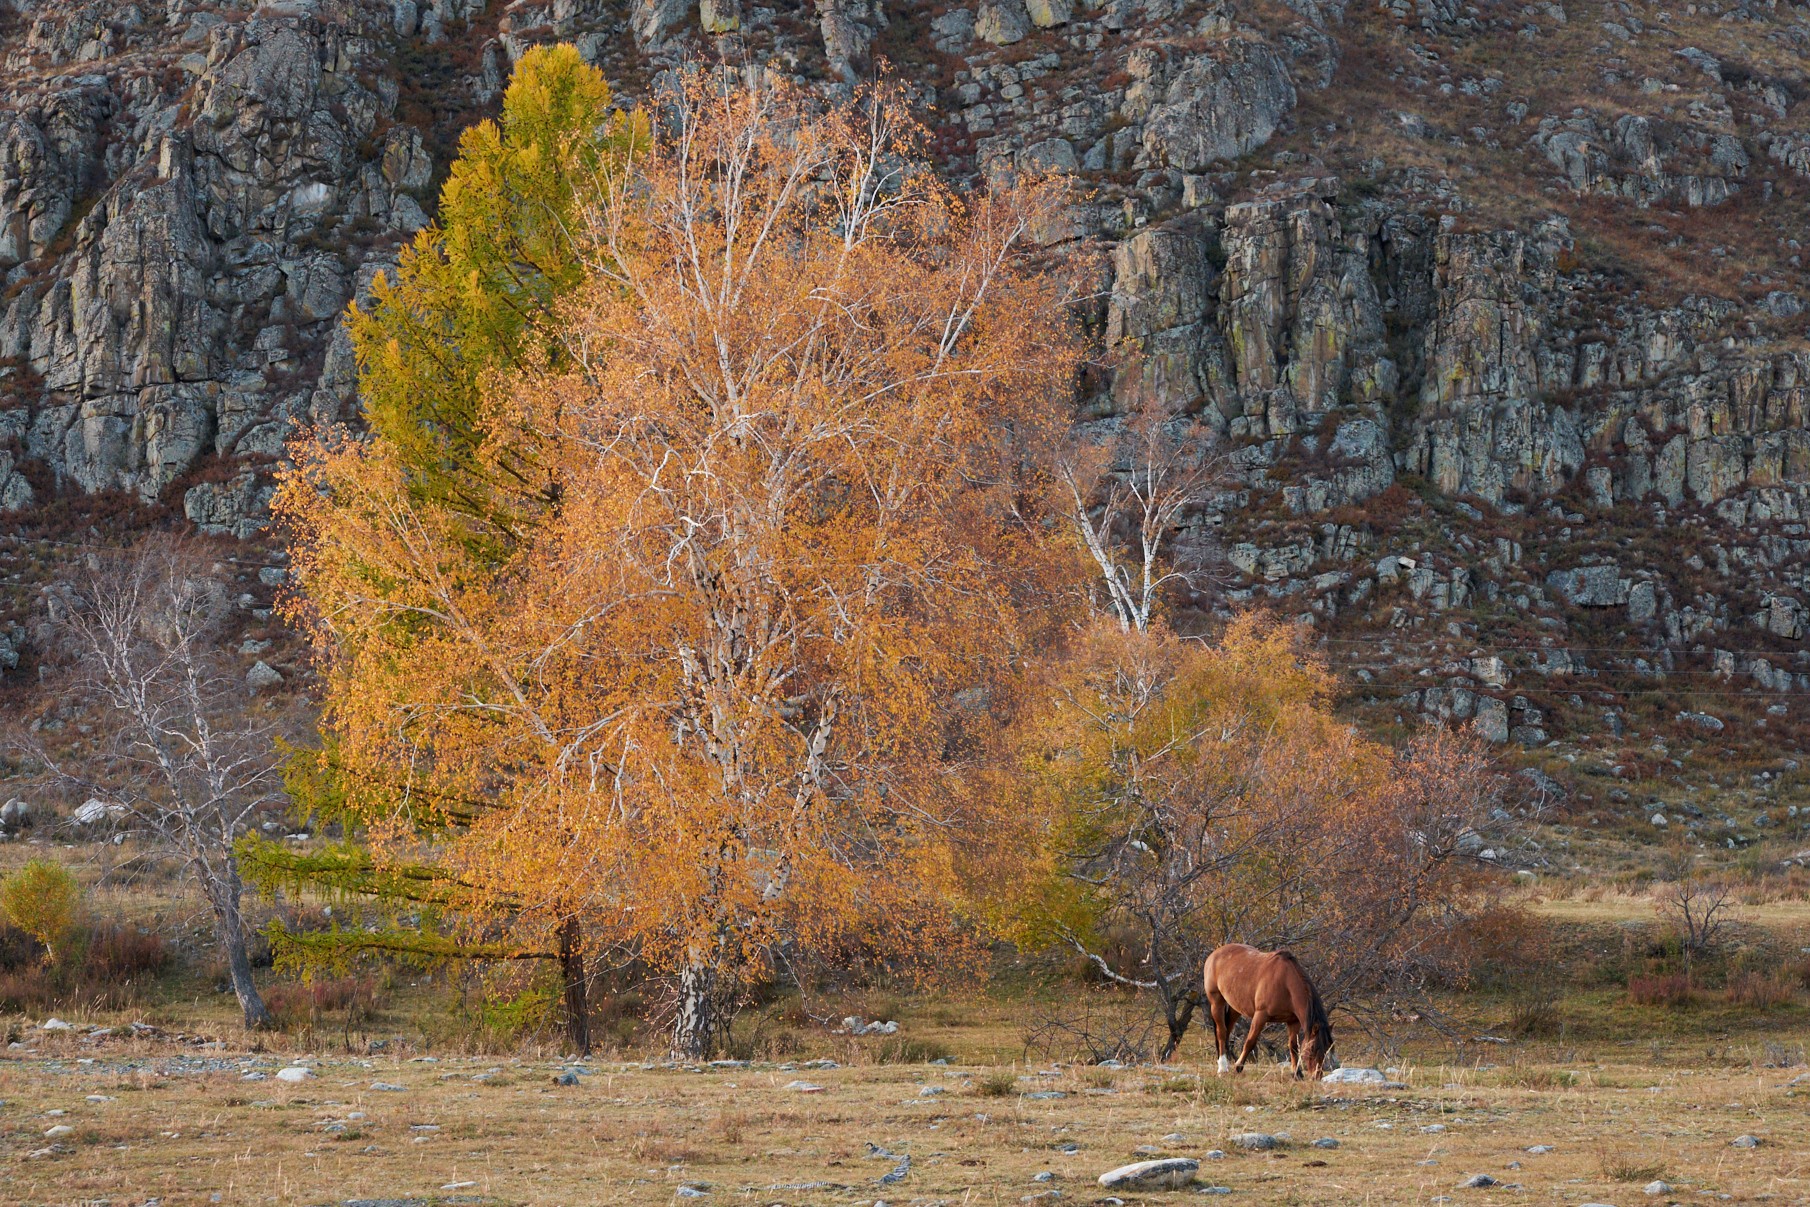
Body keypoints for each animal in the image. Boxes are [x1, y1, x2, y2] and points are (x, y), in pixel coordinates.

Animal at [1201, 940, 1332, 1078]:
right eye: (1312, 1048)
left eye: (1327, 1048)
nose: (1317, 1076)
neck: (1285, 983)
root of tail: (1215, 954)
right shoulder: (1260, 1016)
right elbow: (1250, 1041)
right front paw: (1238, 1066)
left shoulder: (1293, 1021)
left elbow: (1293, 1046)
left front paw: (1297, 1074)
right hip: (1217, 1002)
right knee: (1221, 1032)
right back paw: (1222, 1068)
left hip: (1234, 1008)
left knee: (1227, 1031)